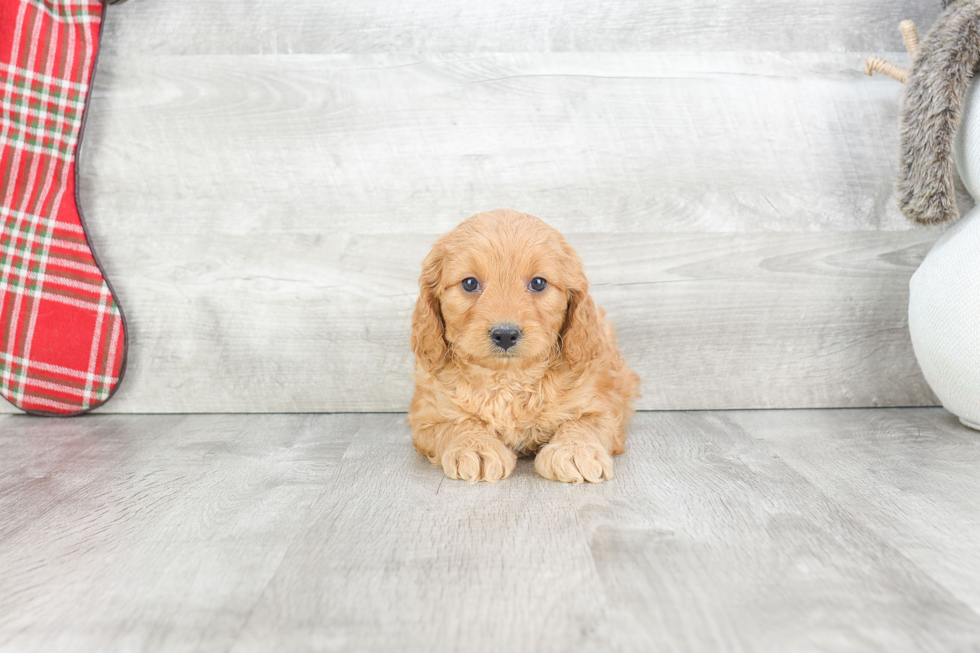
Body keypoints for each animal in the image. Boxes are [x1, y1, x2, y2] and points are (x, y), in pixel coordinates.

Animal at [408, 210, 644, 484]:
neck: (509, 379)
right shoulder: (428, 416)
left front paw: (576, 450)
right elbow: (458, 423)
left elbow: (583, 423)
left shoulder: (601, 406)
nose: (505, 334)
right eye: (469, 283)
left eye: (538, 283)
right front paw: (476, 447)